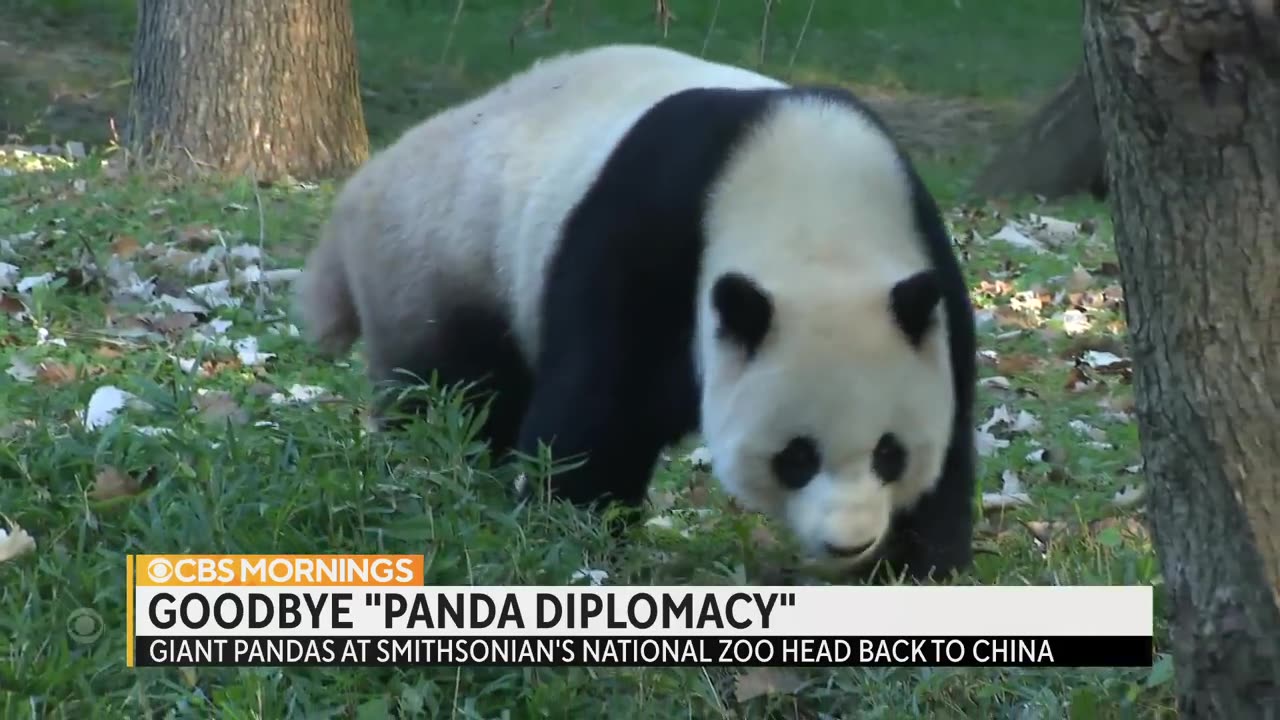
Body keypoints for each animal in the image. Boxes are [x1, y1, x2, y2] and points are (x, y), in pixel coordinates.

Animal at [296, 43, 977, 576]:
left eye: (890, 453)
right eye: (797, 456)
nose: (849, 542)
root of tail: (364, 188)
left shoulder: (926, 260)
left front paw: (915, 562)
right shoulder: (652, 232)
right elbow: (601, 405)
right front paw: (570, 532)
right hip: (446, 262)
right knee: (451, 394)